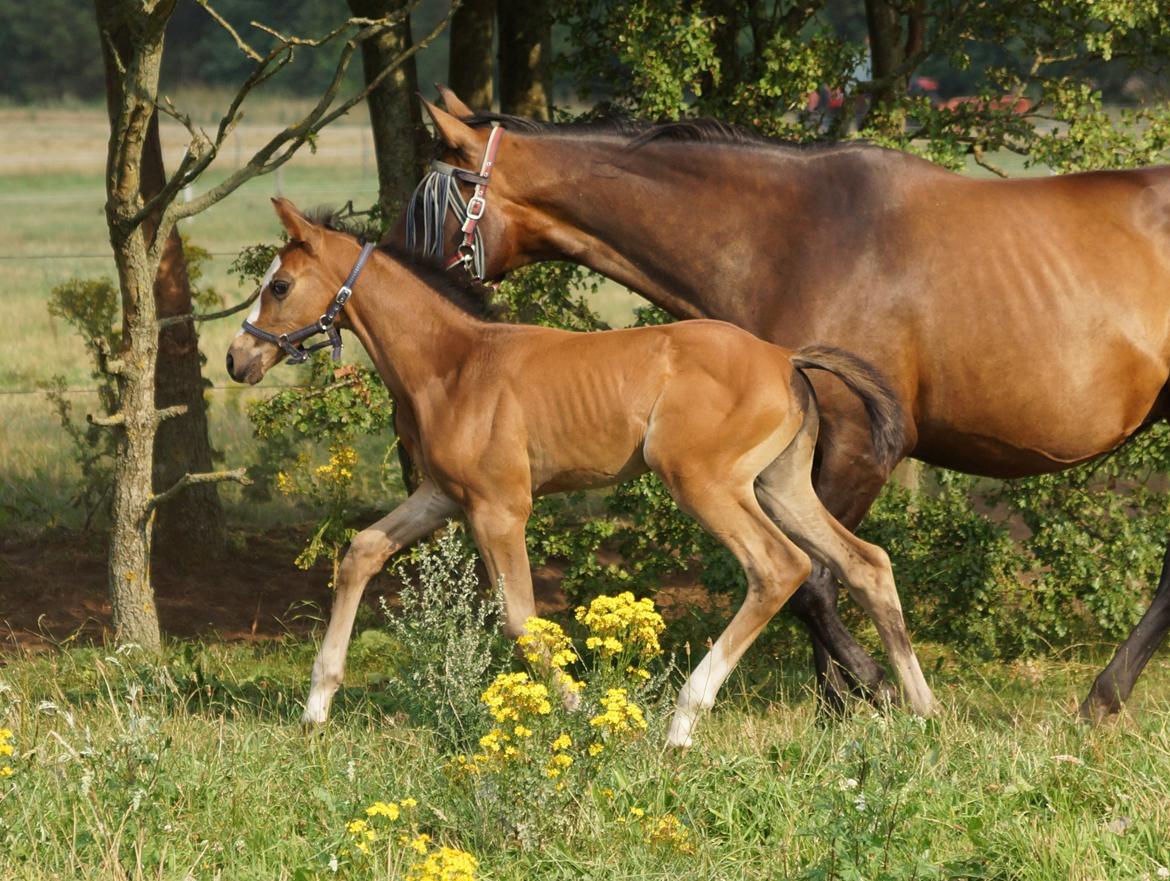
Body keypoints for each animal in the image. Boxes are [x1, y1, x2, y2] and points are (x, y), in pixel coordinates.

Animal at [223, 197, 931, 744]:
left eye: (279, 286)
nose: (236, 359)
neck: (455, 363)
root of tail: (786, 359)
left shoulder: (500, 508)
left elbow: (521, 621)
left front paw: (585, 712)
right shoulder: (443, 495)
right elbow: (360, 552)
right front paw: (317, 707)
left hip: (703, 481)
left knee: (780, 567)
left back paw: (683, 722)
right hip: (778, 485)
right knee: (866, 562)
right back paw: (921, 710)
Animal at [404, 91, 1170, 720]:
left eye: (431, 205)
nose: (401, 274)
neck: (790, 240)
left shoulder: (857, 449)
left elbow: (817, 581)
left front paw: (870, 692)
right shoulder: (796, 460)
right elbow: (826, 579)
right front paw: (846, 706)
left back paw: (1101, 701)